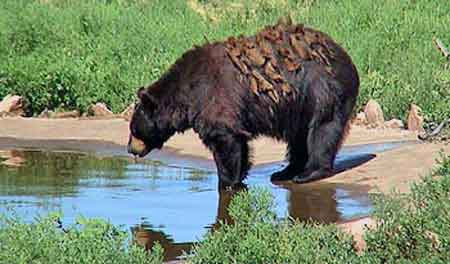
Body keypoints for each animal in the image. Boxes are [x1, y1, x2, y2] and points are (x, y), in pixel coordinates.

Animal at [126, 19, 358, 189]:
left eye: (134, 129)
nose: (129, 149)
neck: (187, 92)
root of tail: (348, 59)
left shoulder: (215, 97)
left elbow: (225, 140)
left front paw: (226, 183)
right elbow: (239, 142)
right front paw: (240, 175)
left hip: (323, 90)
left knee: (322, 129)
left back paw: (308, 173)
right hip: (299, 106)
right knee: (299, 137)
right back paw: (284, 172)